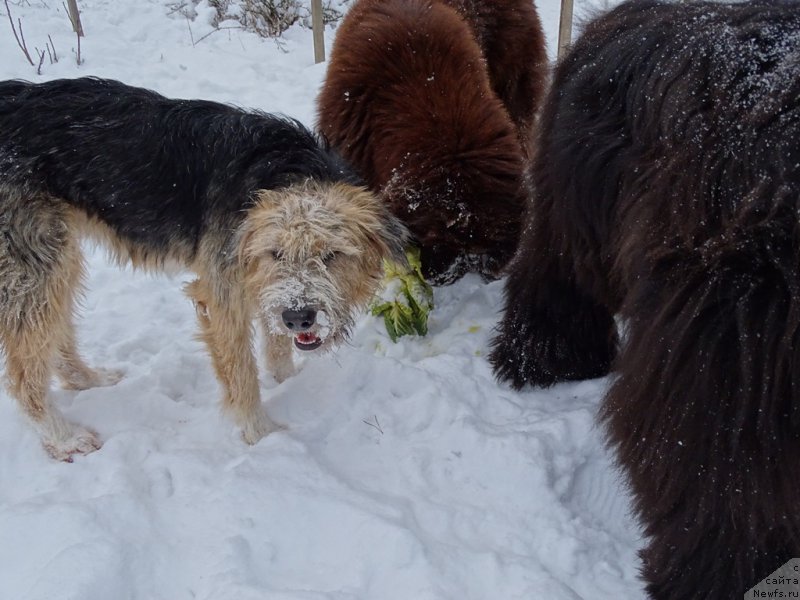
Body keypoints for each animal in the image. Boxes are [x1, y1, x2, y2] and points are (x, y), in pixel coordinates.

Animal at [0, 77, 406, 462]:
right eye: (274, 253)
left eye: (332, 255)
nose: (299, 317)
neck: (286, 173)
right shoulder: (221, 295)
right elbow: (242, 373)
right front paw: (262, 435)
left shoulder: (265, 290)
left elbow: (276, 347)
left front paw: (287, 380)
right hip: (34, 264)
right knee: (22, 374)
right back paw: (63, 437)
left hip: (59, 255)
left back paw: (89, 379)